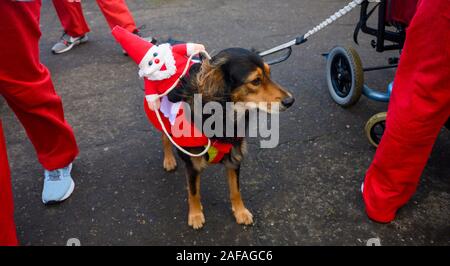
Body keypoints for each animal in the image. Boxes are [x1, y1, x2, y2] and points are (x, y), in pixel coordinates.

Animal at [162, 47, 296, 229]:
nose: (291, 101)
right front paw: (195, 215)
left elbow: (235, 190)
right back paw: (168, 160)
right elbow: (194, 192)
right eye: (256, 81)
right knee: (165, 137)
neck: (224, 116)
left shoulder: (234, 157)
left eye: (270, 73)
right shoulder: (192, 164)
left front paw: (240, 212)